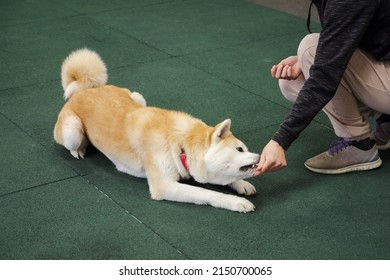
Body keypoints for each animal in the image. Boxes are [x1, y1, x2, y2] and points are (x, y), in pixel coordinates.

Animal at [52, 48, 258, 212]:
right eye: (240, 149)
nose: (259, 157)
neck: (181, 143)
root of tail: (83, 90)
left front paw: (242, 185)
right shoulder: (164, 186)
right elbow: (206, 192)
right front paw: (236, 202)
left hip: (138, 97)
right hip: (73, 130)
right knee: (73, 143)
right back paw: (79, 150)